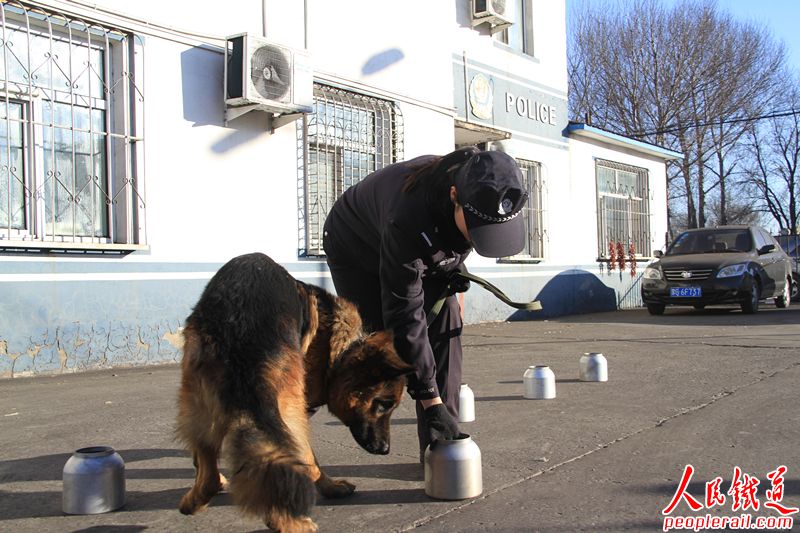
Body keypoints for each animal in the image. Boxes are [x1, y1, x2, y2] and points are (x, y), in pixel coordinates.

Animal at [176, 251, 412, 528]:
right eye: (384, 404)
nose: (385, 449)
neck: (336, 353)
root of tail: (240, 323)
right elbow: (310, 460)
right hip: (285, 410)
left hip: (196, 399)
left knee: (214, 470)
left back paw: (198, 501)